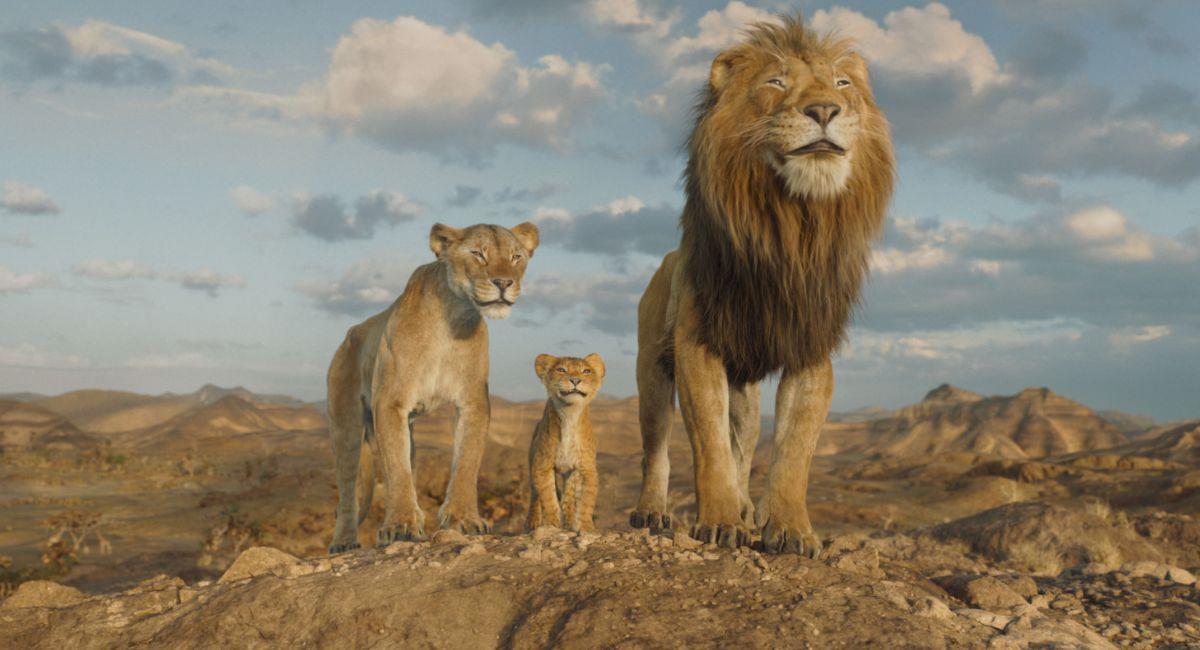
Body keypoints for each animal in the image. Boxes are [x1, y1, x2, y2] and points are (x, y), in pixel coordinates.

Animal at [326, 222, 540, 553]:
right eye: (477, 253)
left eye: (516, 256)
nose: (504, 282)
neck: (453, 317)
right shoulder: (390, 403)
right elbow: (396, 470)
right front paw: (400, 526)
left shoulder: (473, 401)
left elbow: (466, 461)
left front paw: (464, 519)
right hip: (346, 426)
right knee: (348, 490)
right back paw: (344, 542)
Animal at [525, 353, 606, 532]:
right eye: (561, 370)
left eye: (586, 371)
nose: (575, 380)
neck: (570, 414)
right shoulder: (542, 465)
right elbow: (548, 497)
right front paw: (551, 524)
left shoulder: (587, 469)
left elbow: (586, 501)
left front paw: (585, 527)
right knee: (534, 495)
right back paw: (532, 522)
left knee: (569, 495)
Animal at [629, 14, 895, 556]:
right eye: (776, 82)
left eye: (843, 84)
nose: (825, 110)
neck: (791, 226)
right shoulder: (697, 344)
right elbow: (708, 446)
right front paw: (719, 521)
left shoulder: (810, 348)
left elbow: (793, 451)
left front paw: (790, 530)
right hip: (651, 370)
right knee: (656, 447)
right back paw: (652, 512)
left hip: (745, 392)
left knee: (745, 445)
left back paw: (747, 507)